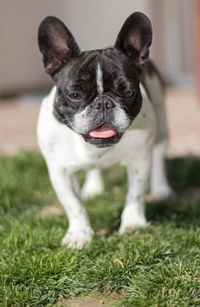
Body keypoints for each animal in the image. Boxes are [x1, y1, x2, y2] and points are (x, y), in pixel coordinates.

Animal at [37, 12, 173, 250]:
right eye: (75, 95)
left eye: (128, 92)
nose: (103, 103)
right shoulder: (60, 172)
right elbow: (73, 205)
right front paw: (79, 235)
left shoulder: (139, 160)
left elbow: (135, 194)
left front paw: (133, 224)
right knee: (94, 170)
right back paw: (94, 188)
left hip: (160, 122)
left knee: (158, 155)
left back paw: (161, 190)